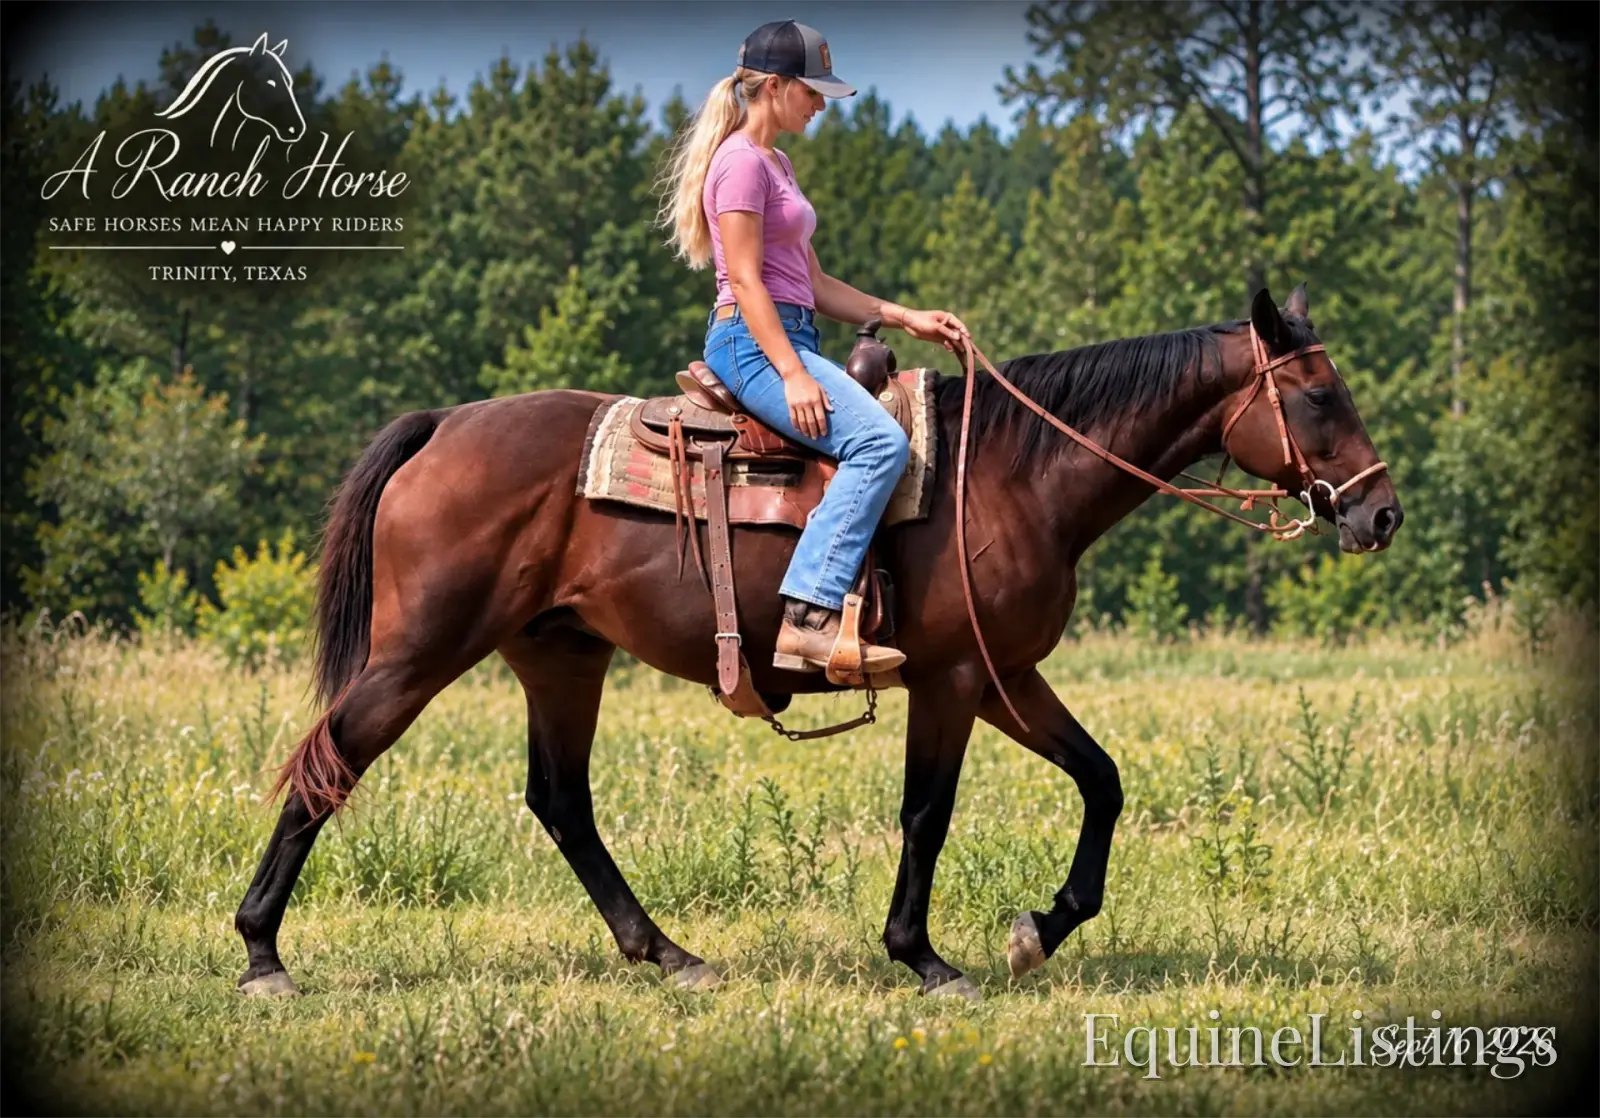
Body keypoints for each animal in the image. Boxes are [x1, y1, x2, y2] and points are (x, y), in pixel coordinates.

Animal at [233, 284, 1402, 1000]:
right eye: (1315, 393)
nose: (1380, 513)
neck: (1010, 472)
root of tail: (446, 425)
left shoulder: (1006, 675)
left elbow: (1102, 779)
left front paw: (1042, 926)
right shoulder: (952, 678)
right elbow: (927, 812)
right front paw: (924, 956)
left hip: (560, 654)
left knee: (560, 800)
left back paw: (667, 952)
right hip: (419, 651)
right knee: (330, 762)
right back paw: (260, 952)